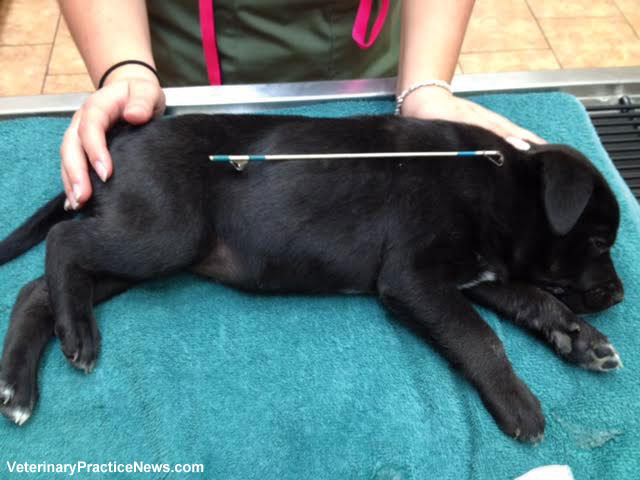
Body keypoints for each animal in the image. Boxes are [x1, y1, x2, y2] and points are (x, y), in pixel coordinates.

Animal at [0, 113, 624, 442]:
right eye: (598, 242)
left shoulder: (479, 273)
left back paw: (22, 382)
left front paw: (580, 340)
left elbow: (531, 299)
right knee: (63, 242)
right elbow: (481, 337)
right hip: (160, 233)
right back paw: (77, 338)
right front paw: (517, 402)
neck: (498, 183)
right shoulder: (414, 278)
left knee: (37, 289)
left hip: (151, 248)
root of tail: (117, 142)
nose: (619, 295)